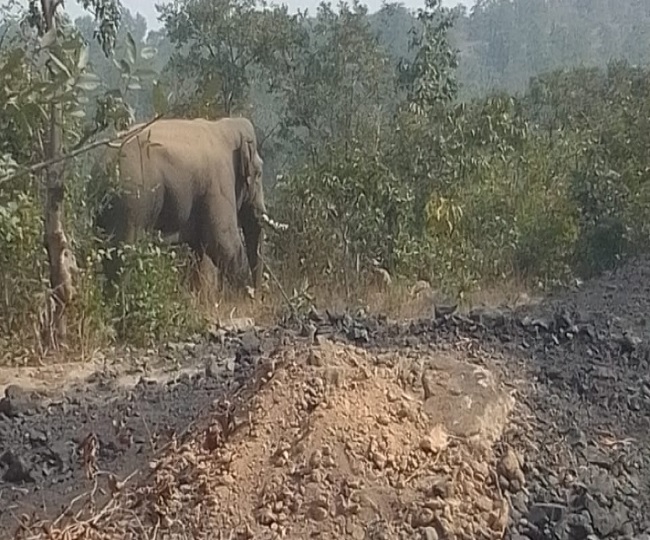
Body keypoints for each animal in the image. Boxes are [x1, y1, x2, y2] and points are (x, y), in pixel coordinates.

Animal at [92, 116, 267, 292]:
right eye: (259, 174)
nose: (256, 294)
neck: (227, 127)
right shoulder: (219, 182)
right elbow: (224, 244)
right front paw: (244, 294)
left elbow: (200, 251)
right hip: (132, 203)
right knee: (124, 255)